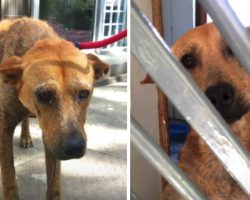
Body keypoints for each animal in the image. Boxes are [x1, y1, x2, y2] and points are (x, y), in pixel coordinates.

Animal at [0, 17, 108, 200]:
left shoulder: (50, 134)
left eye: (84, 93)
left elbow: (54, 182)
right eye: (44, 95)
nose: (74, 147)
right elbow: (9, 179)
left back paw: (26, 136)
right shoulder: (4, 129)